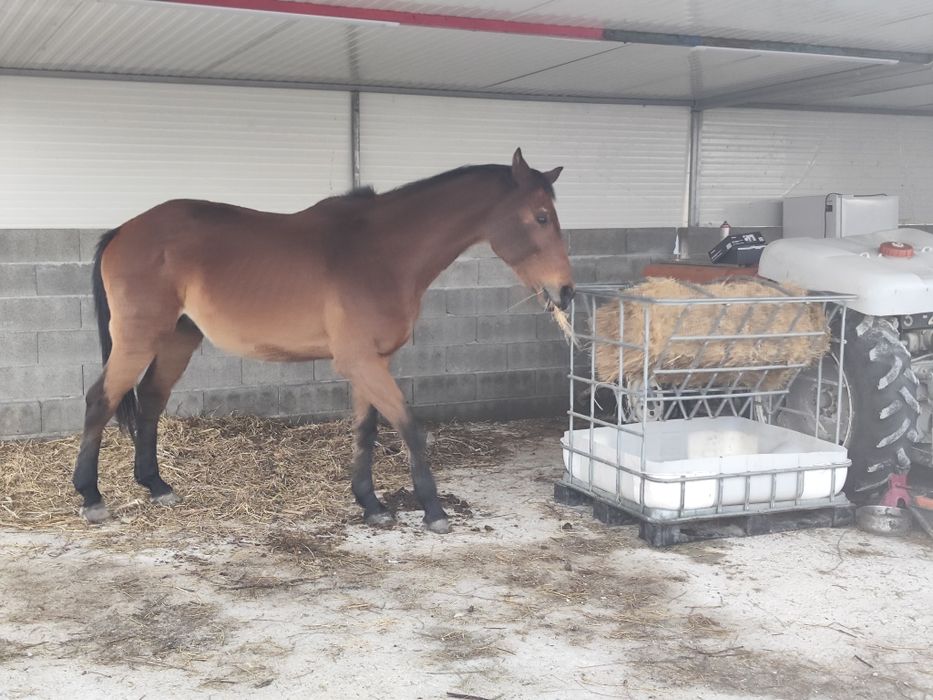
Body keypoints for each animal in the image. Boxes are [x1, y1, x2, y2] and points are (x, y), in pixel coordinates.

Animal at [73, 148, 574, 534]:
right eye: (540, 217)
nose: (566, 290)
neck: (381, 252)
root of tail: (123, 231)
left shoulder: (372, 361)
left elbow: (367, 430)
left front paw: (371, 505)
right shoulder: (361, 362)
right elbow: (410, 427)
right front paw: (433, 511)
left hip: (177, 338)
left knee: (151, 400)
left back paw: (157, 486)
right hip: (137, 339)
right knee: (101, 399)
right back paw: (91, 496)